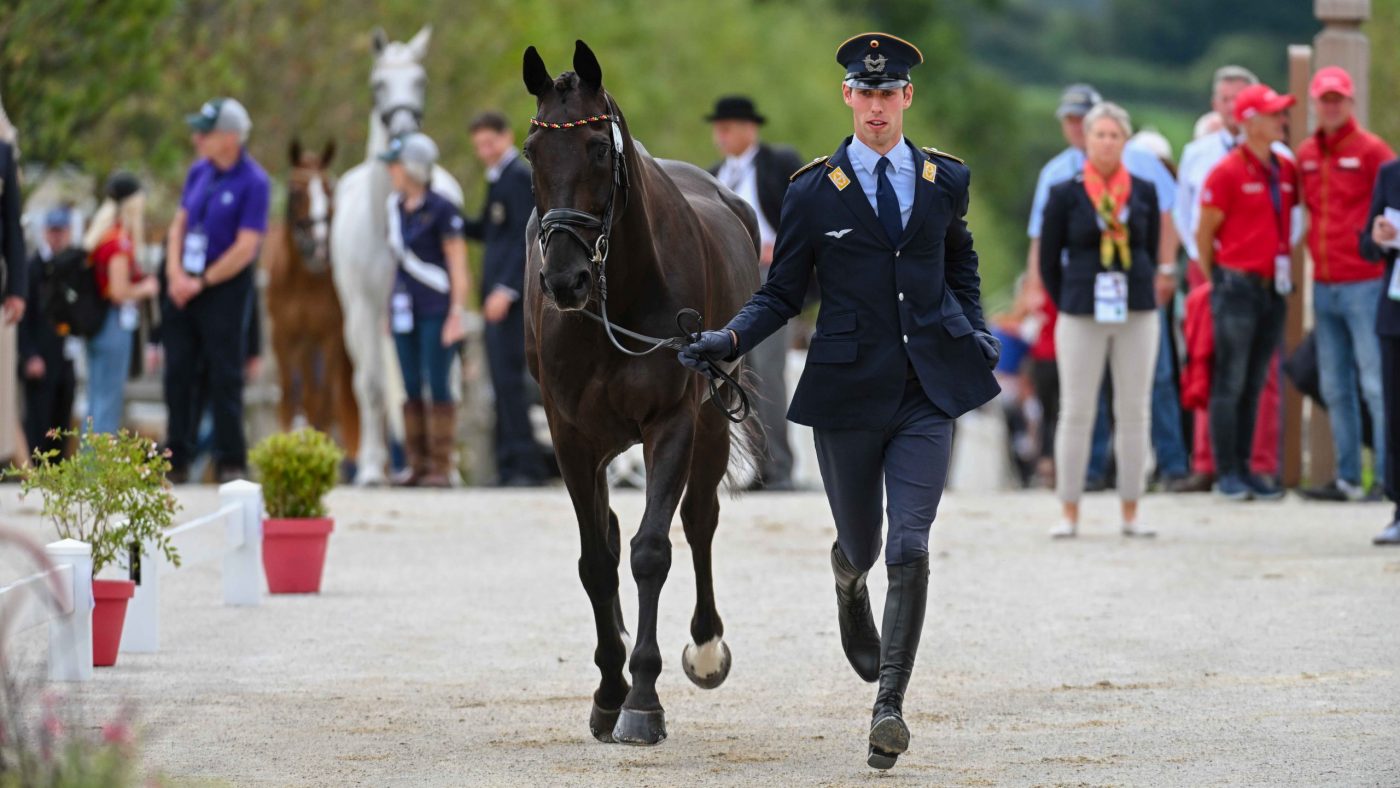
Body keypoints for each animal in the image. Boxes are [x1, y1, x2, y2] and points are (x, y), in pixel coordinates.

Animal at [264, 138, 360, 458]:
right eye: (295, 192)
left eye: (329, 191)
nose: (319, 246)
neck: (304, 281)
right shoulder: (284, 335)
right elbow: (286, 397)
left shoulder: (329, 336)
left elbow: (322, 402)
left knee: (319, 397)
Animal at [330, 25, 463, 486]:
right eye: (377, 85)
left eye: (420, 81)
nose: (405, 132)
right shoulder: (368, 309)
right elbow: (372, 387)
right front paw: (371, 470)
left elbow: (434, 384)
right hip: (357, 322)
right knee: (367, 383)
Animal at [521, 41, 761, 746]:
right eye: (531, 151)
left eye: (600, 147)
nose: (564, 280)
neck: (617, 295)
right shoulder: (570, 436)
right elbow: (596, 562)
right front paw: (609, 692)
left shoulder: (671, 422)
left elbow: (652, 551)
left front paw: (643, 700)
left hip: (711, 420)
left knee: (700, 518)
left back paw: (706, 649)